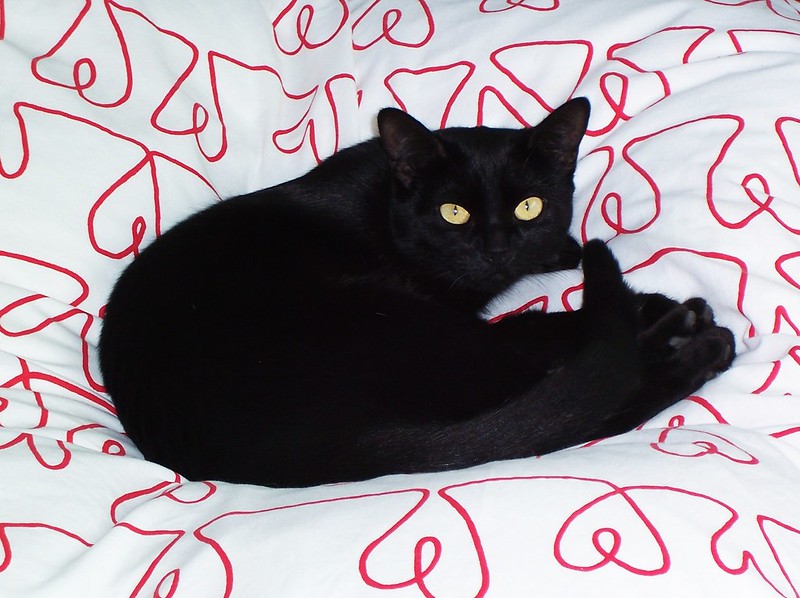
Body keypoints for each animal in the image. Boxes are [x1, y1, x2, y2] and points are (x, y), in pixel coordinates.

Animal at [98, 98, 735, 487]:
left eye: (529, 207)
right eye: (454, 213)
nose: (496, 247)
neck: (385, 203)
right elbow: (548, 328)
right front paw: (650, 304)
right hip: (409, 325)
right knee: (583, 384)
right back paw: (694, 338)